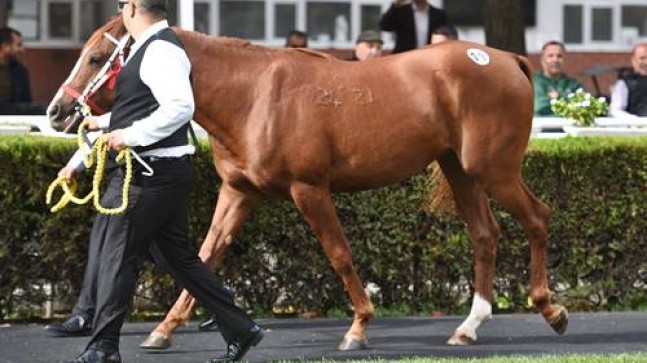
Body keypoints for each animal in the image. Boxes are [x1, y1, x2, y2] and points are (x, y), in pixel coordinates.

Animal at [48, 17, 568, 352]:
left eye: (98, 56)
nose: (57, 112)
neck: (254, 95)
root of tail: (506, 59)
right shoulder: (239, 192)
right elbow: (205, 256)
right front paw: (165, 329)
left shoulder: (309, 189)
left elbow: (339, 254)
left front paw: (357, 328)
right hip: (460, 169)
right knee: (485, 234)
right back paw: (469, 325)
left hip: (493, 169)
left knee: (537, 218)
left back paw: (550, 309)